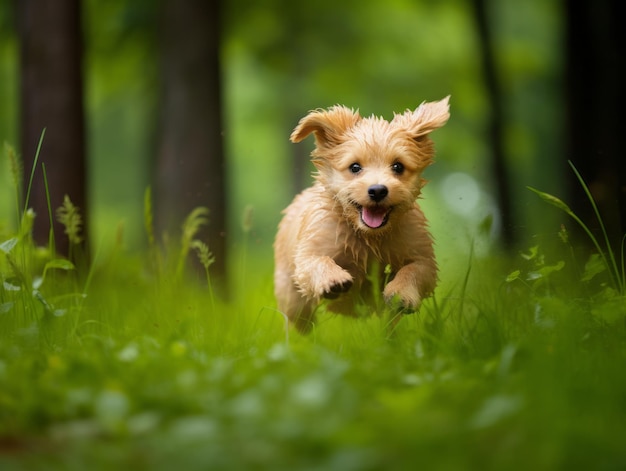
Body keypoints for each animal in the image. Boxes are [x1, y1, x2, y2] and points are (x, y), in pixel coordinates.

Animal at [272, 96, 448, 334]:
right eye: (355, 167)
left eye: (398, 166)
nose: (378, 190)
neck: (368, 236)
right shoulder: (311, 248)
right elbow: (317, 261)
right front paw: (332, 279)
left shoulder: (420, 252)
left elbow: (415, 270)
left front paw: (401, 293)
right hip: (292, 297)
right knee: (300, 321)